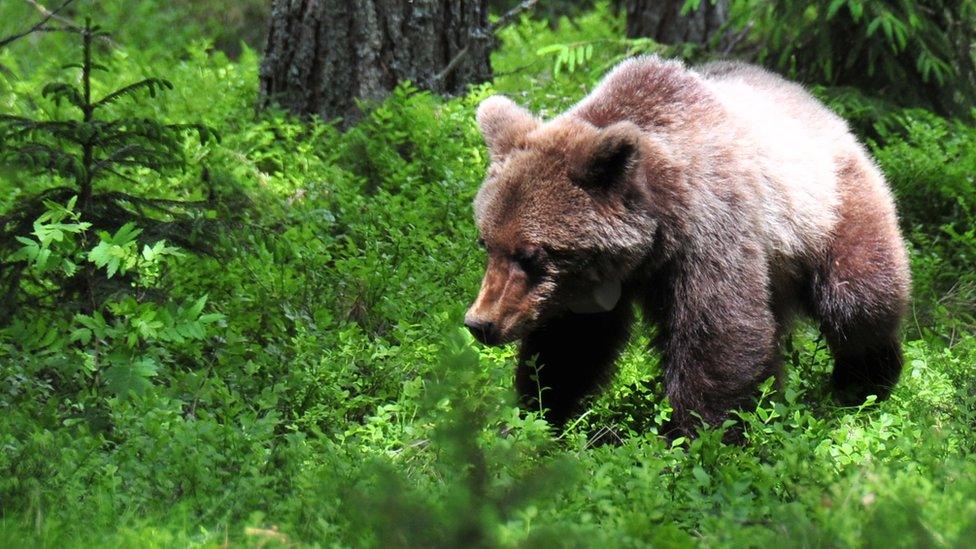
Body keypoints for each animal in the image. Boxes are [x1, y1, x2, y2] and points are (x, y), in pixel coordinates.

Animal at [462, 56, 912, 436]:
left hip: (829, 211)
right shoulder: (586, 288)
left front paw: (700, 435)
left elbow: (718, 332)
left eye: (532, 254)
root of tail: (822, 107)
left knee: (858, 300)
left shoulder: (709, 230)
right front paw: (532, 418)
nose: (480, 323)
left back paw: (864, 383)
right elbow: (569, 345)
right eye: (486, 241)